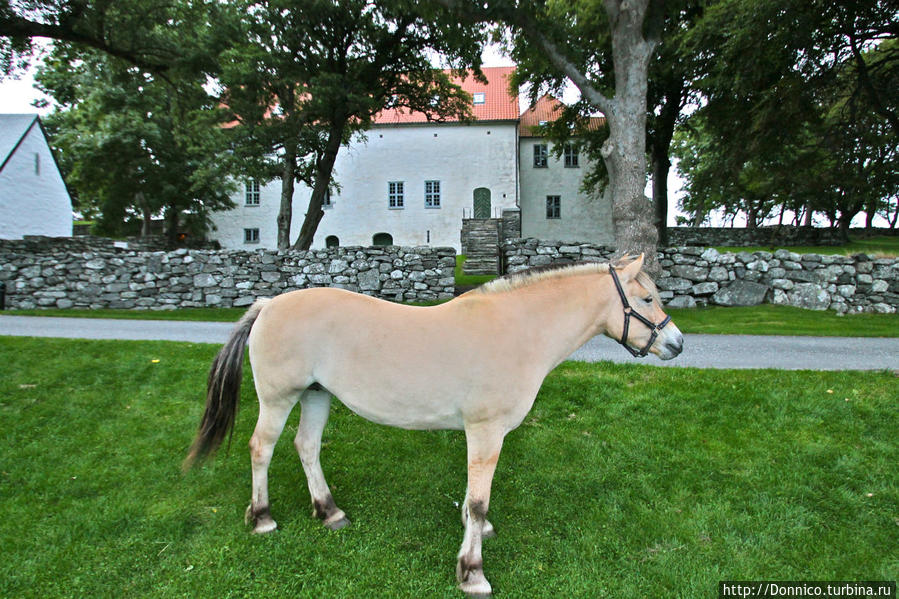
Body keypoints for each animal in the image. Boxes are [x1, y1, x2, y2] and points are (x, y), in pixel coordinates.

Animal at [186, 255, 684, 596]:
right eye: (646, 299)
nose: (678, 344)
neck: (517, 330)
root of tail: (269, 304)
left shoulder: (479, 435)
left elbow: (472, 497)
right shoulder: (486, 431)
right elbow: (479, 501)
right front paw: (472, 572)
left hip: (316, 394)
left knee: (306, 446)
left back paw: (329, 512)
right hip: (280, 398)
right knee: (262, 448)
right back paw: (262, 518)